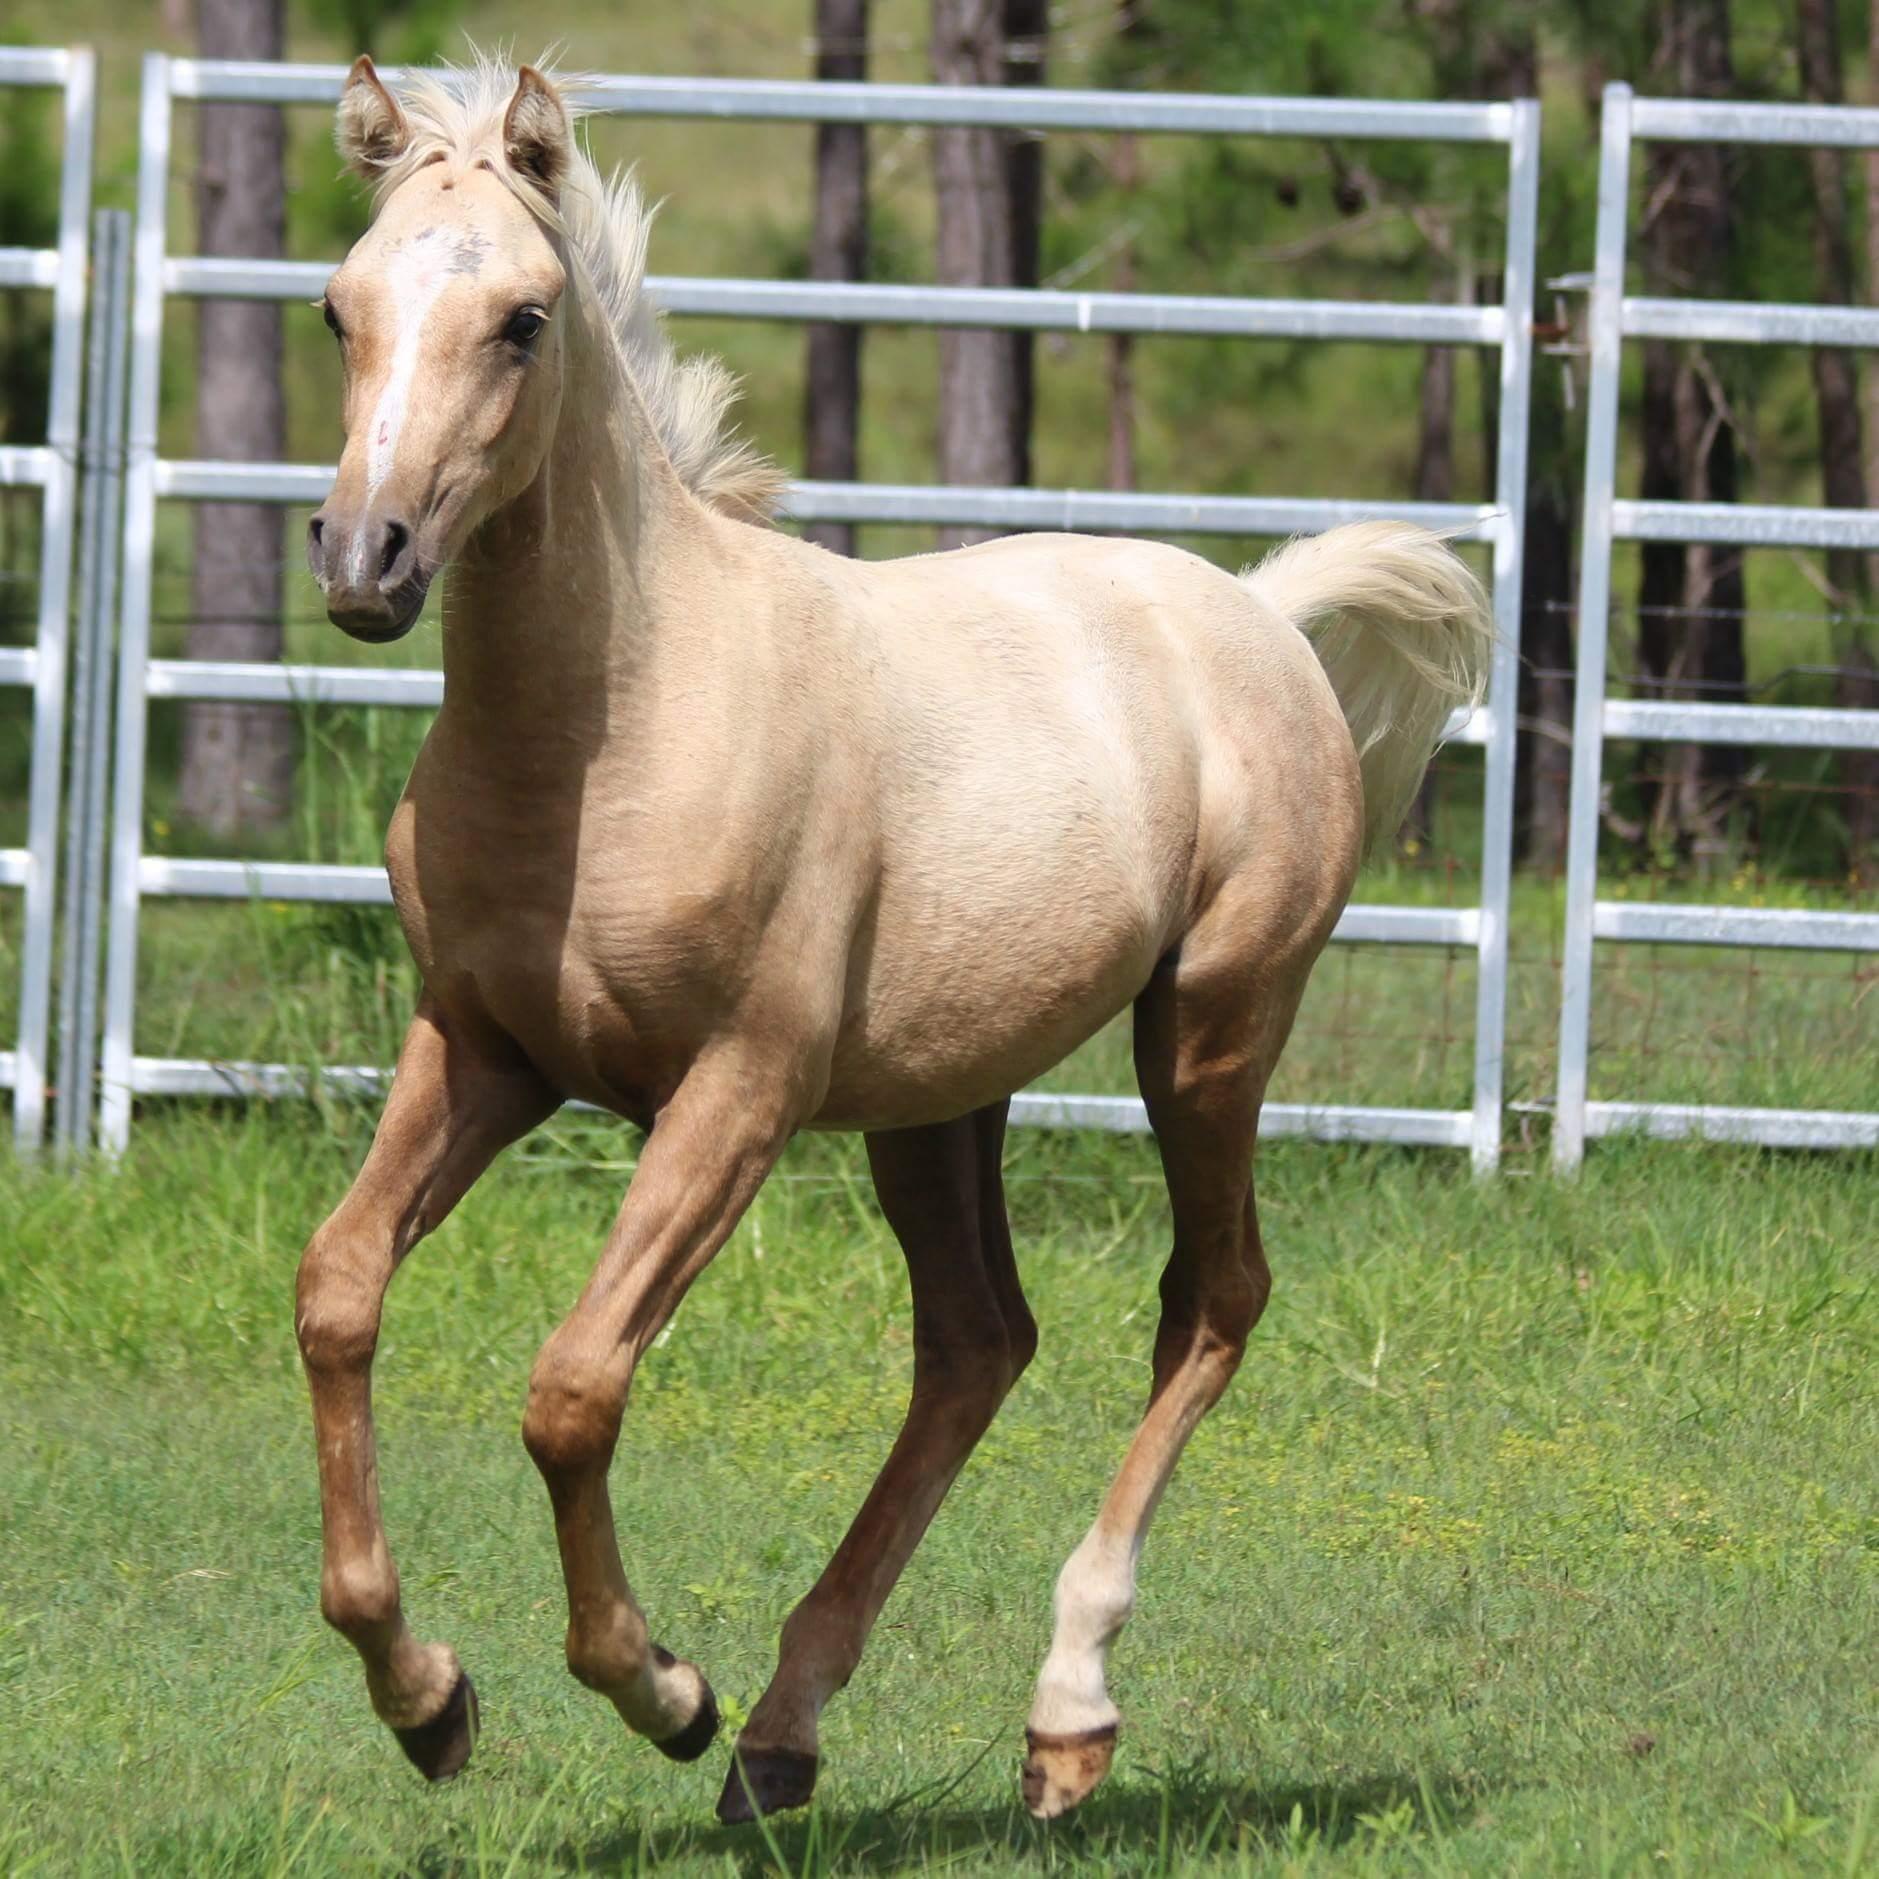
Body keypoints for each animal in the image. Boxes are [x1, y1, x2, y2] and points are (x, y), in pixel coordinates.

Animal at [294, 53, 1493, 1824]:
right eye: (340, 307)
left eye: (520, 317)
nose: (367, 558)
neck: (614, 726)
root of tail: (1261, 613)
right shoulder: (484, 1049)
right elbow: (339, 1289)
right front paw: (427, 1698)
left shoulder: (737, 1090)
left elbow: (573, 1385)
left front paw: (663, 1690)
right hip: (940, 1100)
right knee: (977, 1340)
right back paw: (785, 1737)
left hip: (1210, 1029)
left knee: (1209, 1296)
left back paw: (1060, 1716)